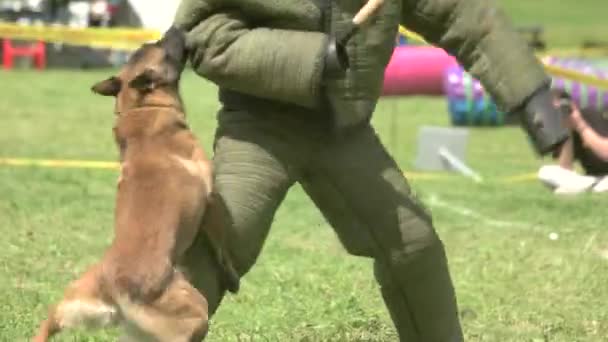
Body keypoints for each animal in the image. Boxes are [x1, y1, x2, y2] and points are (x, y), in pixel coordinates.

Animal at [32, 27, 238, 342]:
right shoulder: (211, 201)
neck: (143, 107)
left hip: (73, 300)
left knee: (49, 320)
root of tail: (115, 291)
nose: (176, 29)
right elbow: (223, 245)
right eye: (163, 48)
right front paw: (232, 276)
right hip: (195, 312)